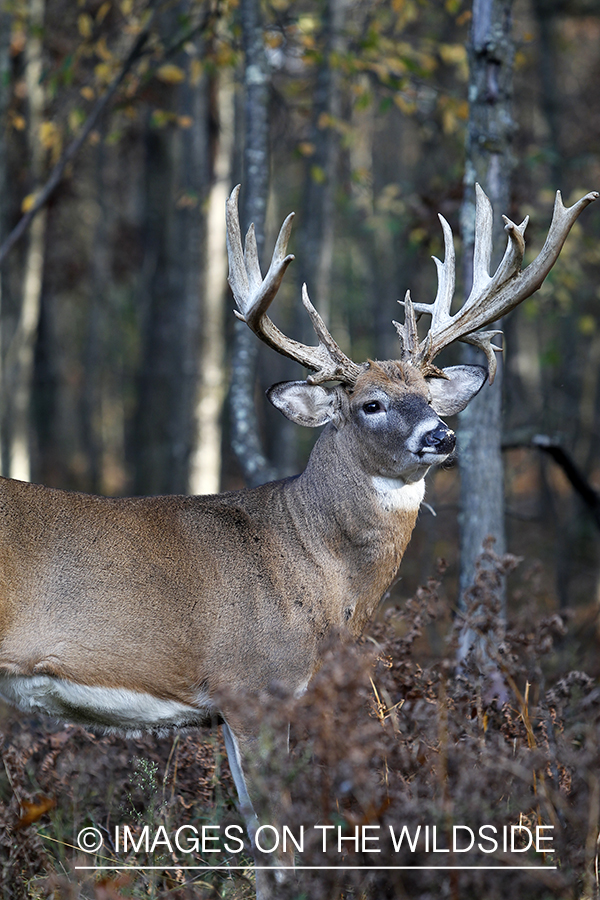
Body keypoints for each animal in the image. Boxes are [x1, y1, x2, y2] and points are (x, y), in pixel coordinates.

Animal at [0, 183, 592, 900]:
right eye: (369, 403)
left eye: (428, 394)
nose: (441, 436)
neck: (315, 568)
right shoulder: (256, 682)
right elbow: (280, 844)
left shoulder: (236, 706)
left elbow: (259, 842)